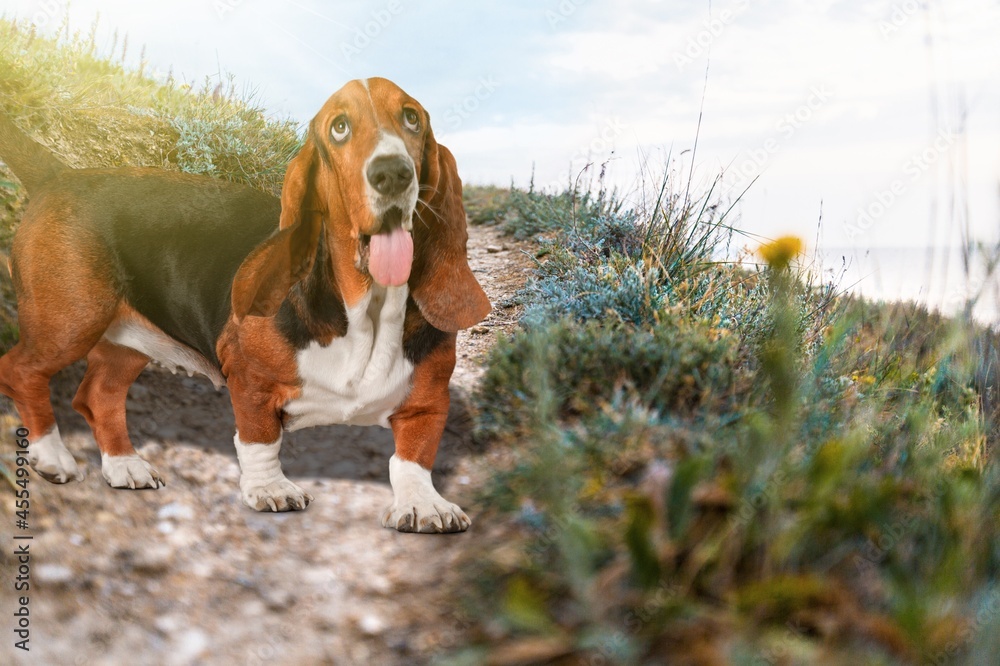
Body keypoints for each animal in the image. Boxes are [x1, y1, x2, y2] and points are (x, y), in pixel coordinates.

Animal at [0, 78, 492, 532]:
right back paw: (52, 455)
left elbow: (413, 459)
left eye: (411, 118)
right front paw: (270, 488)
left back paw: (123, 465)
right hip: (70, 321)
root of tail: (60, 174)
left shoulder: (428, 402)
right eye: (339, 127)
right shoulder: (250, 381)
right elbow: (259, 440)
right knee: (20, 370)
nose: (393, 173)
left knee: (97, 396)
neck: (365, 308)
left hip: (128, 341)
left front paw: (424, 505)